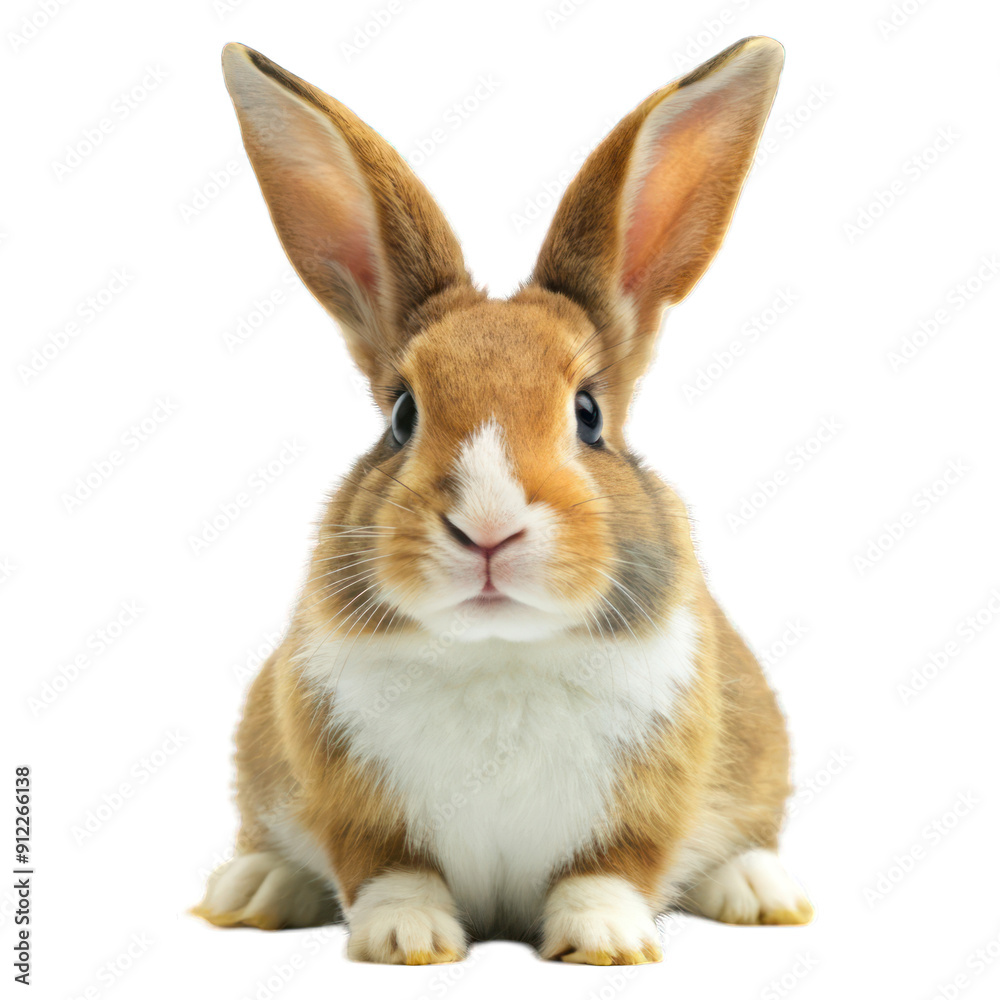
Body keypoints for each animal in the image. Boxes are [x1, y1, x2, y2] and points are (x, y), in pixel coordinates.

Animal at [192, 36, 812, 965]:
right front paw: (406, 938)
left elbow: (610, 869)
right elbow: (389, 869)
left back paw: (762, 890)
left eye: (588, 415)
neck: (498, 652)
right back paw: (255, 888)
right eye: (402, 415)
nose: (488, 528)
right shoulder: (349, 794)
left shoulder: (648, 799)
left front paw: (605, 941)